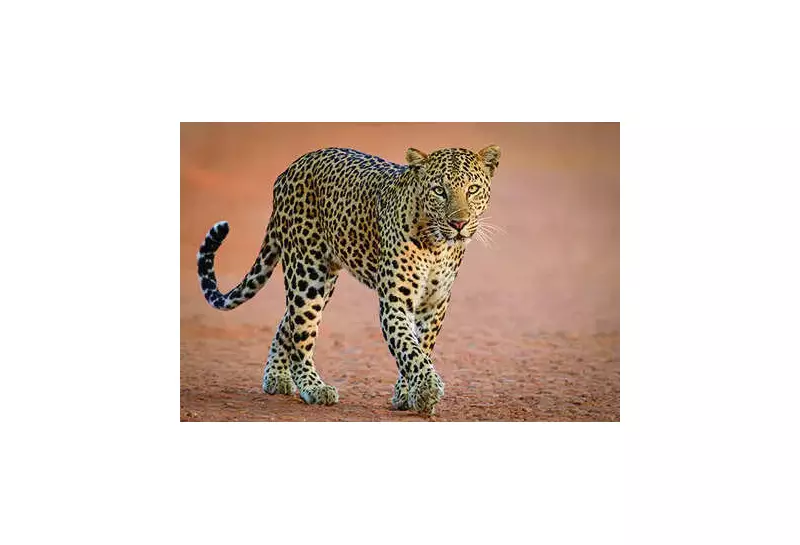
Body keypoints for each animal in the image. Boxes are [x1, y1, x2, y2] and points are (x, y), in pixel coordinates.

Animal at [197, 144, 501, 415]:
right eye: (439, 190)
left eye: (472, 189)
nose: (459, 224)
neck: (437, 246)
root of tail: (289, 169)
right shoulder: (394, 301)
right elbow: (407, 347)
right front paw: (426, 388)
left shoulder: (434, 305)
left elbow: (421, 347)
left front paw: (407, 394)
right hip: (307, 276)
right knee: (300, 334)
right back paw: (313, 387)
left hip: (323, 280)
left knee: (288, 323)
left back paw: (276, 377)